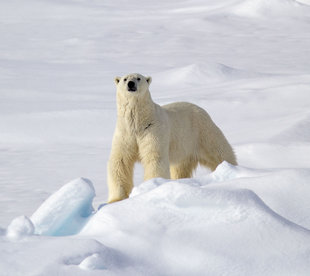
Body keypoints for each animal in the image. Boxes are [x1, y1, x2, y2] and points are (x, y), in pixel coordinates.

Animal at [106, 73, 237, 203]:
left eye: (138, 78)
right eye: (125, 79)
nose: (131, 84)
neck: (140, 123)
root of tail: (202, 110)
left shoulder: (153, 132)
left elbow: (154, 158)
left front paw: (150, 188)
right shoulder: (125, 134)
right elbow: (120, 162)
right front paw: (116, 199)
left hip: (202, 132)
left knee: (219, 151)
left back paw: (231, 169)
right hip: (184, 147)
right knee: (180, 168)